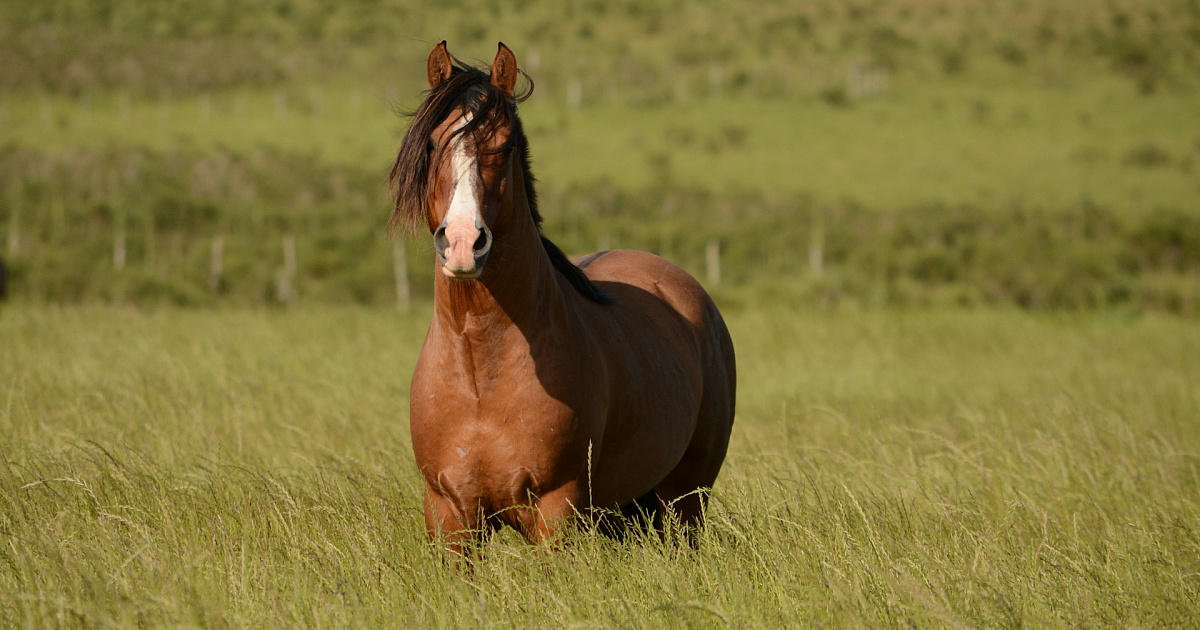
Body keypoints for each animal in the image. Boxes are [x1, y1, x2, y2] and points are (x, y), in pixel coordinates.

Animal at [388, 40, 734, 554]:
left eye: (506, 145)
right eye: (433, 144)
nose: (464, 242)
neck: (480, 376)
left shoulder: (557, 511)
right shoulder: (449, 516)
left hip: (685, 502)